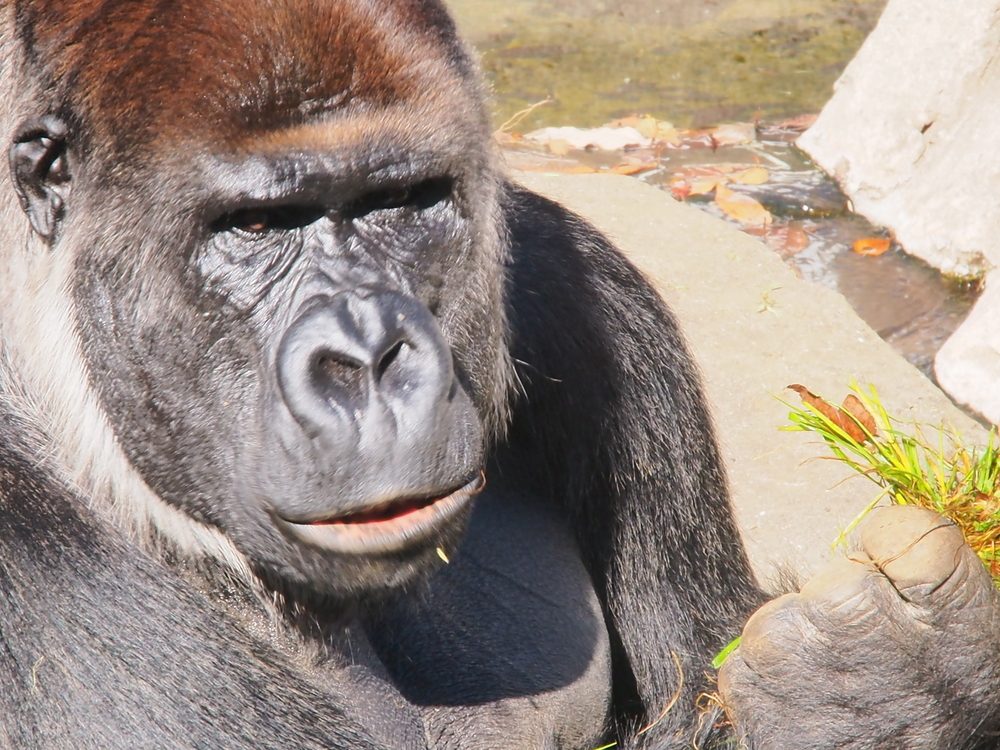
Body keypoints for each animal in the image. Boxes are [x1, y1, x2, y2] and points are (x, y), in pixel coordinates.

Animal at [0, 1, 996, 750]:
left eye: (402, 200)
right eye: (255, 225)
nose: (369, 361)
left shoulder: (580, 288)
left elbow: (704, 653)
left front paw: (904, 692)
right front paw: (871, 699)